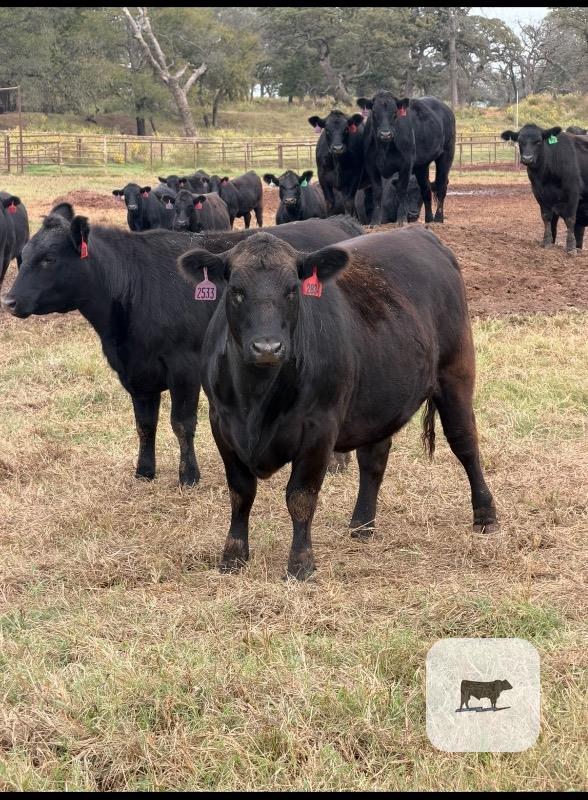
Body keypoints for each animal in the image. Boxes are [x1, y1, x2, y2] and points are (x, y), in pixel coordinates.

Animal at [1, 208, 364, 487]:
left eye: (49, 259)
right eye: (23, 257)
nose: (9, 301)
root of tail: (339, 221)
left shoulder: (184, 367)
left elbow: (182, 422)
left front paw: (188, 476)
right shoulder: (136, 372)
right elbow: (145, 424)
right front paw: (144, 471)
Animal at [176, 227, 498, 580]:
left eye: (293, 290)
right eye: (236, 290)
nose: (267, 347)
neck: (256, 398)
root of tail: (419, 232)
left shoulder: (319, 428)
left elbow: (300, 496)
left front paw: (301, 564)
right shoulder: (221, 423)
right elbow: (240, 492)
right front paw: (233, 556)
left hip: (456, 375)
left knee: (465, 444)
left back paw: (485, 515)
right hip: (379, 397)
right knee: (373, 459)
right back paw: (361, 525)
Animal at [356, 92, 456, 226]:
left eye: (395, 113)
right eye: (374, 112)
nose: (385, 134)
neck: (384, 147)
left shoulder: (406, 165)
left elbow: (402, 189)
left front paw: (401, 220)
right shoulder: (371, 166)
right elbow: (377, 192)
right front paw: (375, 222)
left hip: (446, 155)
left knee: (441, 187)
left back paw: (438, 219)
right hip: (422, 165)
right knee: (426, 189)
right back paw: (428, 219)